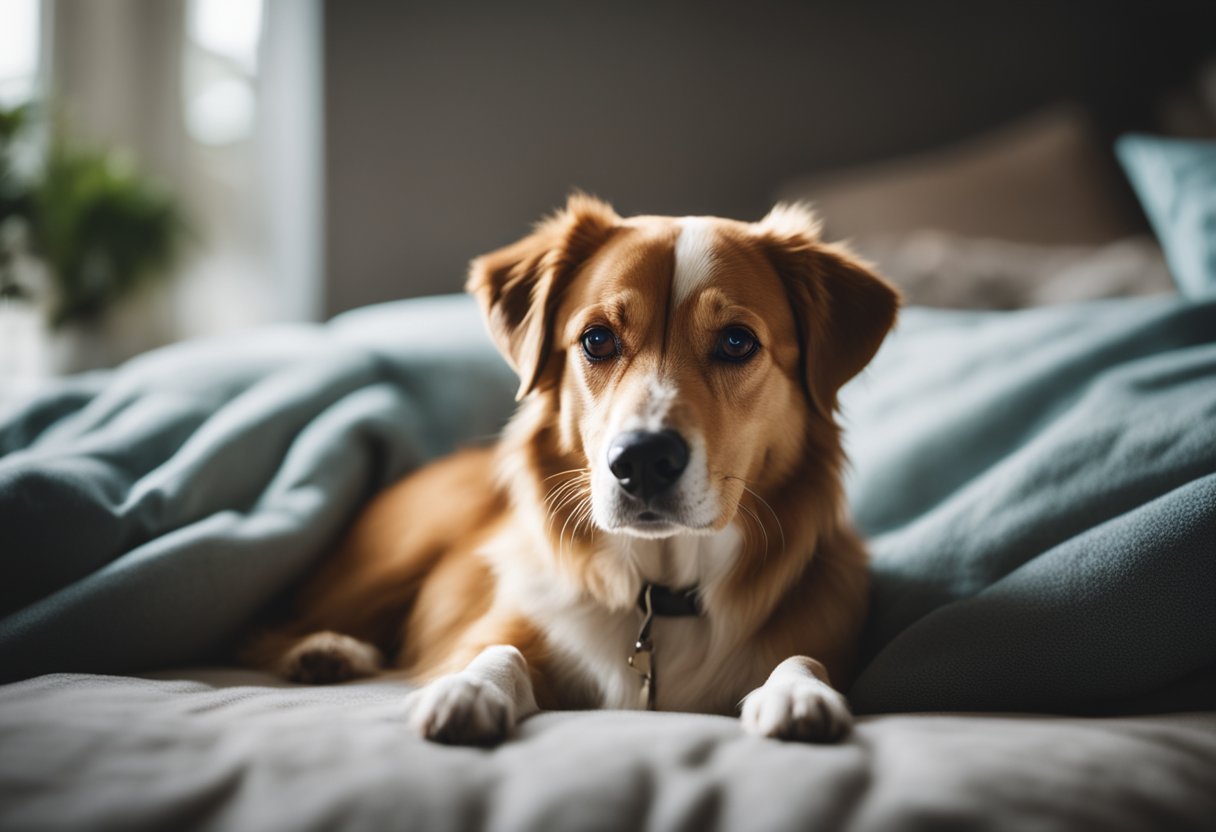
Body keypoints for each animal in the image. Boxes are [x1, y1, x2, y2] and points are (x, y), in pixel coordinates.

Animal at [241, 197, 899, 749]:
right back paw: (325, 648)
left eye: (737, 342)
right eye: (597, 339)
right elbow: (497, 650)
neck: (660, 592)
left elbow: (803, 659)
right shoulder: (502, 625)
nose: (642, 461)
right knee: (268, 623)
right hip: (390, 560)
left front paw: (798, 692)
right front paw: (469, 689)